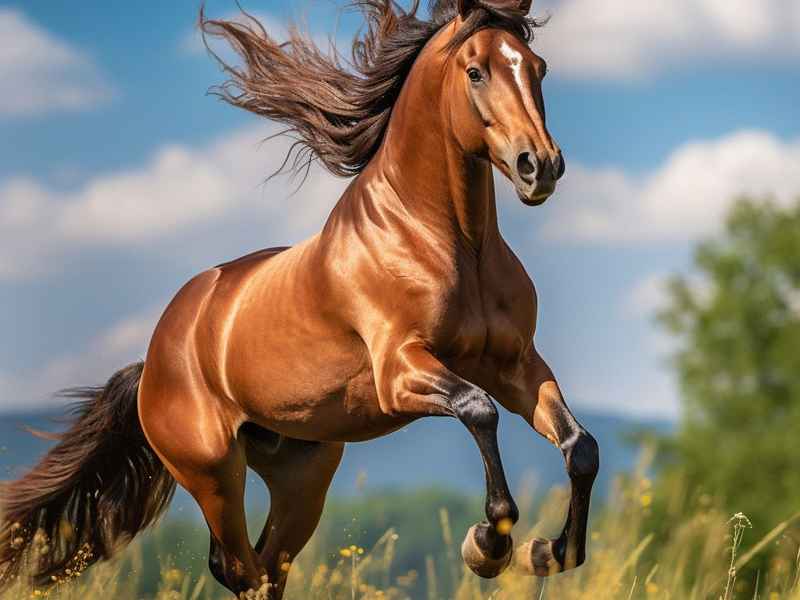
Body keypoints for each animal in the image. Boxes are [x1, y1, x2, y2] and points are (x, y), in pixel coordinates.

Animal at [0, 0, 599, 597]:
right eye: (475, 71)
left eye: (538, 67)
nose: (539, 166)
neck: (442, 240)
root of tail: (153, 360)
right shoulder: (400, 370)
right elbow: (479, 410)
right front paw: (488, 545)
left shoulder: (516, 365)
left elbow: (579, 446)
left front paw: (550, 552)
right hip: (213, 473)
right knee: (239, 568)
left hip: (302, 476)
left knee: (267, 565)